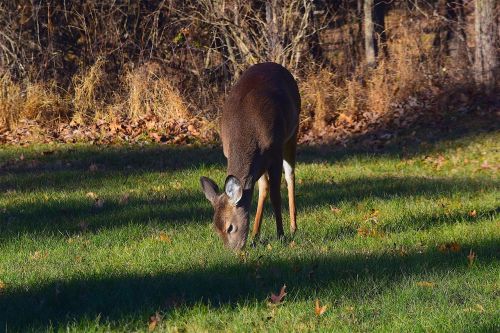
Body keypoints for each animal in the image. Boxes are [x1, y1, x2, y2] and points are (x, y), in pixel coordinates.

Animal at [200, 61, 300, 249]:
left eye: (230, 227)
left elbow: (276, 196)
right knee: (264, 187)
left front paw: (281, 235)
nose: (233, 251)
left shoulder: (275, 152)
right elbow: (261, 190)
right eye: (216, 229)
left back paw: (293, 227)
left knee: (290, 175)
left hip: (293, 131)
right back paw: (255, 234)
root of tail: (275, 64)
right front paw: (255, 235)